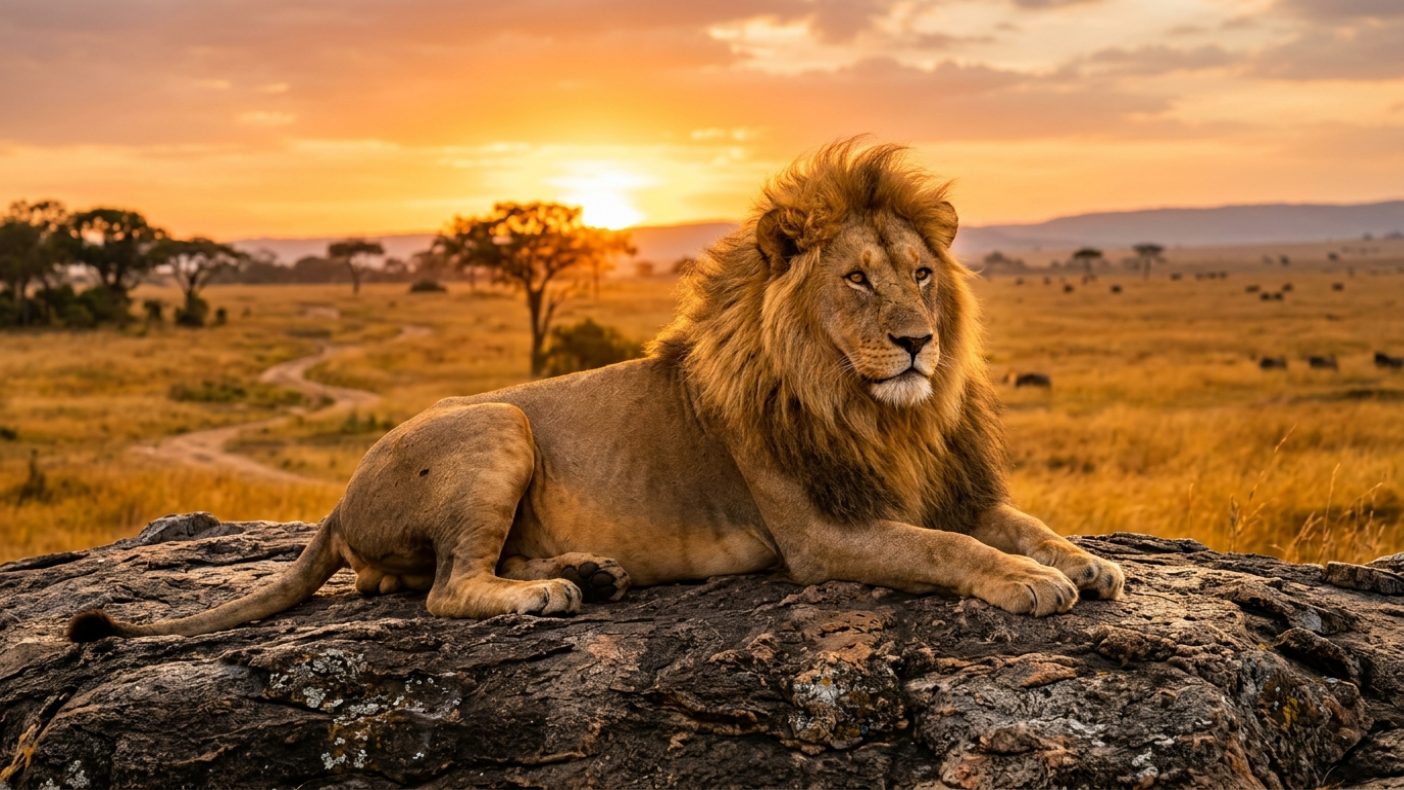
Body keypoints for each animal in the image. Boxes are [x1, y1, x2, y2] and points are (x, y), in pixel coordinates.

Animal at [68, 140, 1123, 642]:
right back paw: (545, 594)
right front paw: (1030, 582)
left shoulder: (950, 483)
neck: (878, 413)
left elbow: (1020, 522)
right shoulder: (825, 536)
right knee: (443, 590)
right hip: (496, 422)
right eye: (858, 280)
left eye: (922, 275)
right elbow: (948, 547)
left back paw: (586, 571)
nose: (917, 343)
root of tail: (337, 500)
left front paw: (1088, 564)